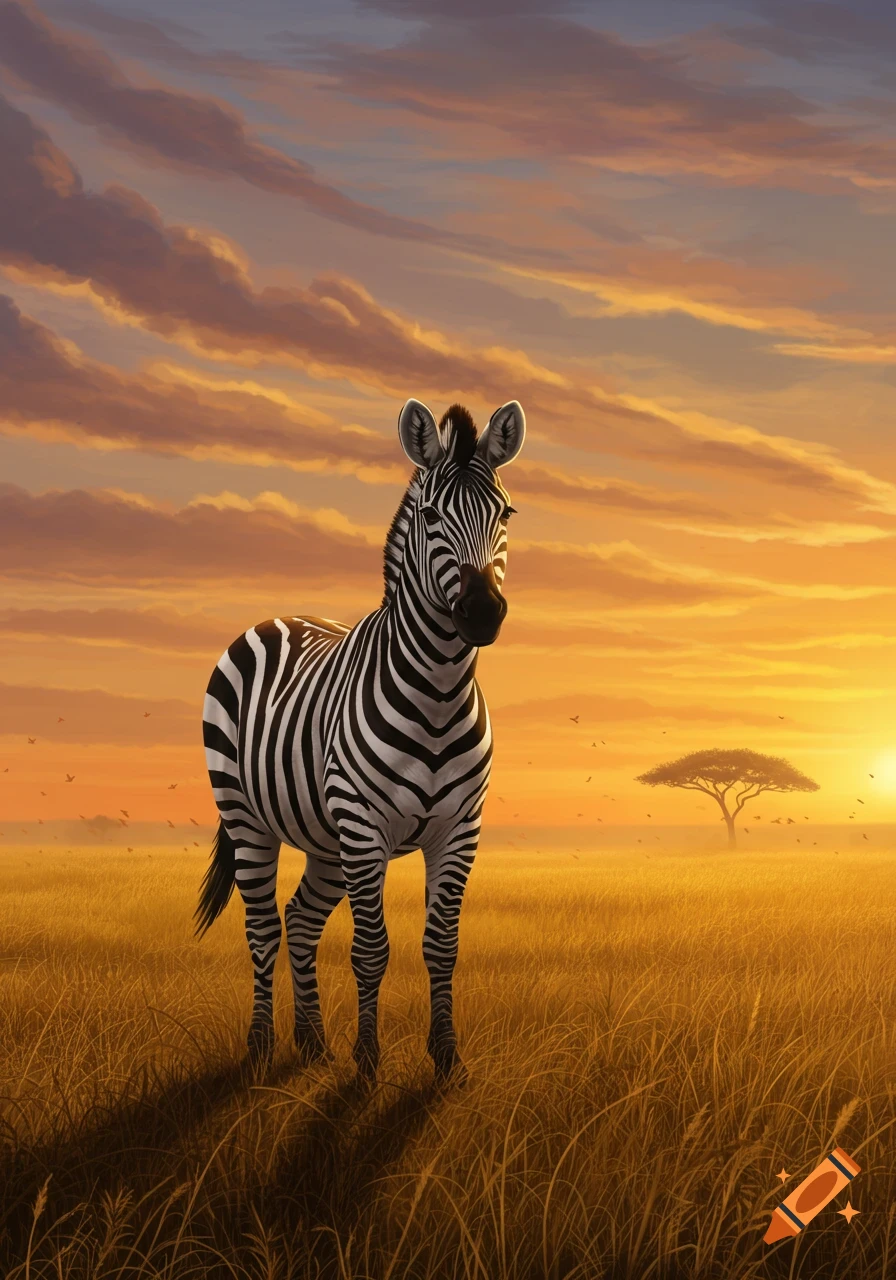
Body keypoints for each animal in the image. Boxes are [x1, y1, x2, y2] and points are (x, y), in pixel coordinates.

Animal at [196, 396, 526, 1083]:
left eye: (505, 513)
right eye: (431, 516)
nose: (483, 613)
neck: (439, 692)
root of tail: (279, 617)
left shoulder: (461, 828)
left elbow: (442, 946)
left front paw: (447, 1058)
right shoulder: (364, 825)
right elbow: (372, 948)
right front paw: (368, 1061)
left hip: (327, 840)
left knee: (299, 920)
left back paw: (312, 1042)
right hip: (250, 817)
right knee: (263, 927)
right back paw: (262, 1046)